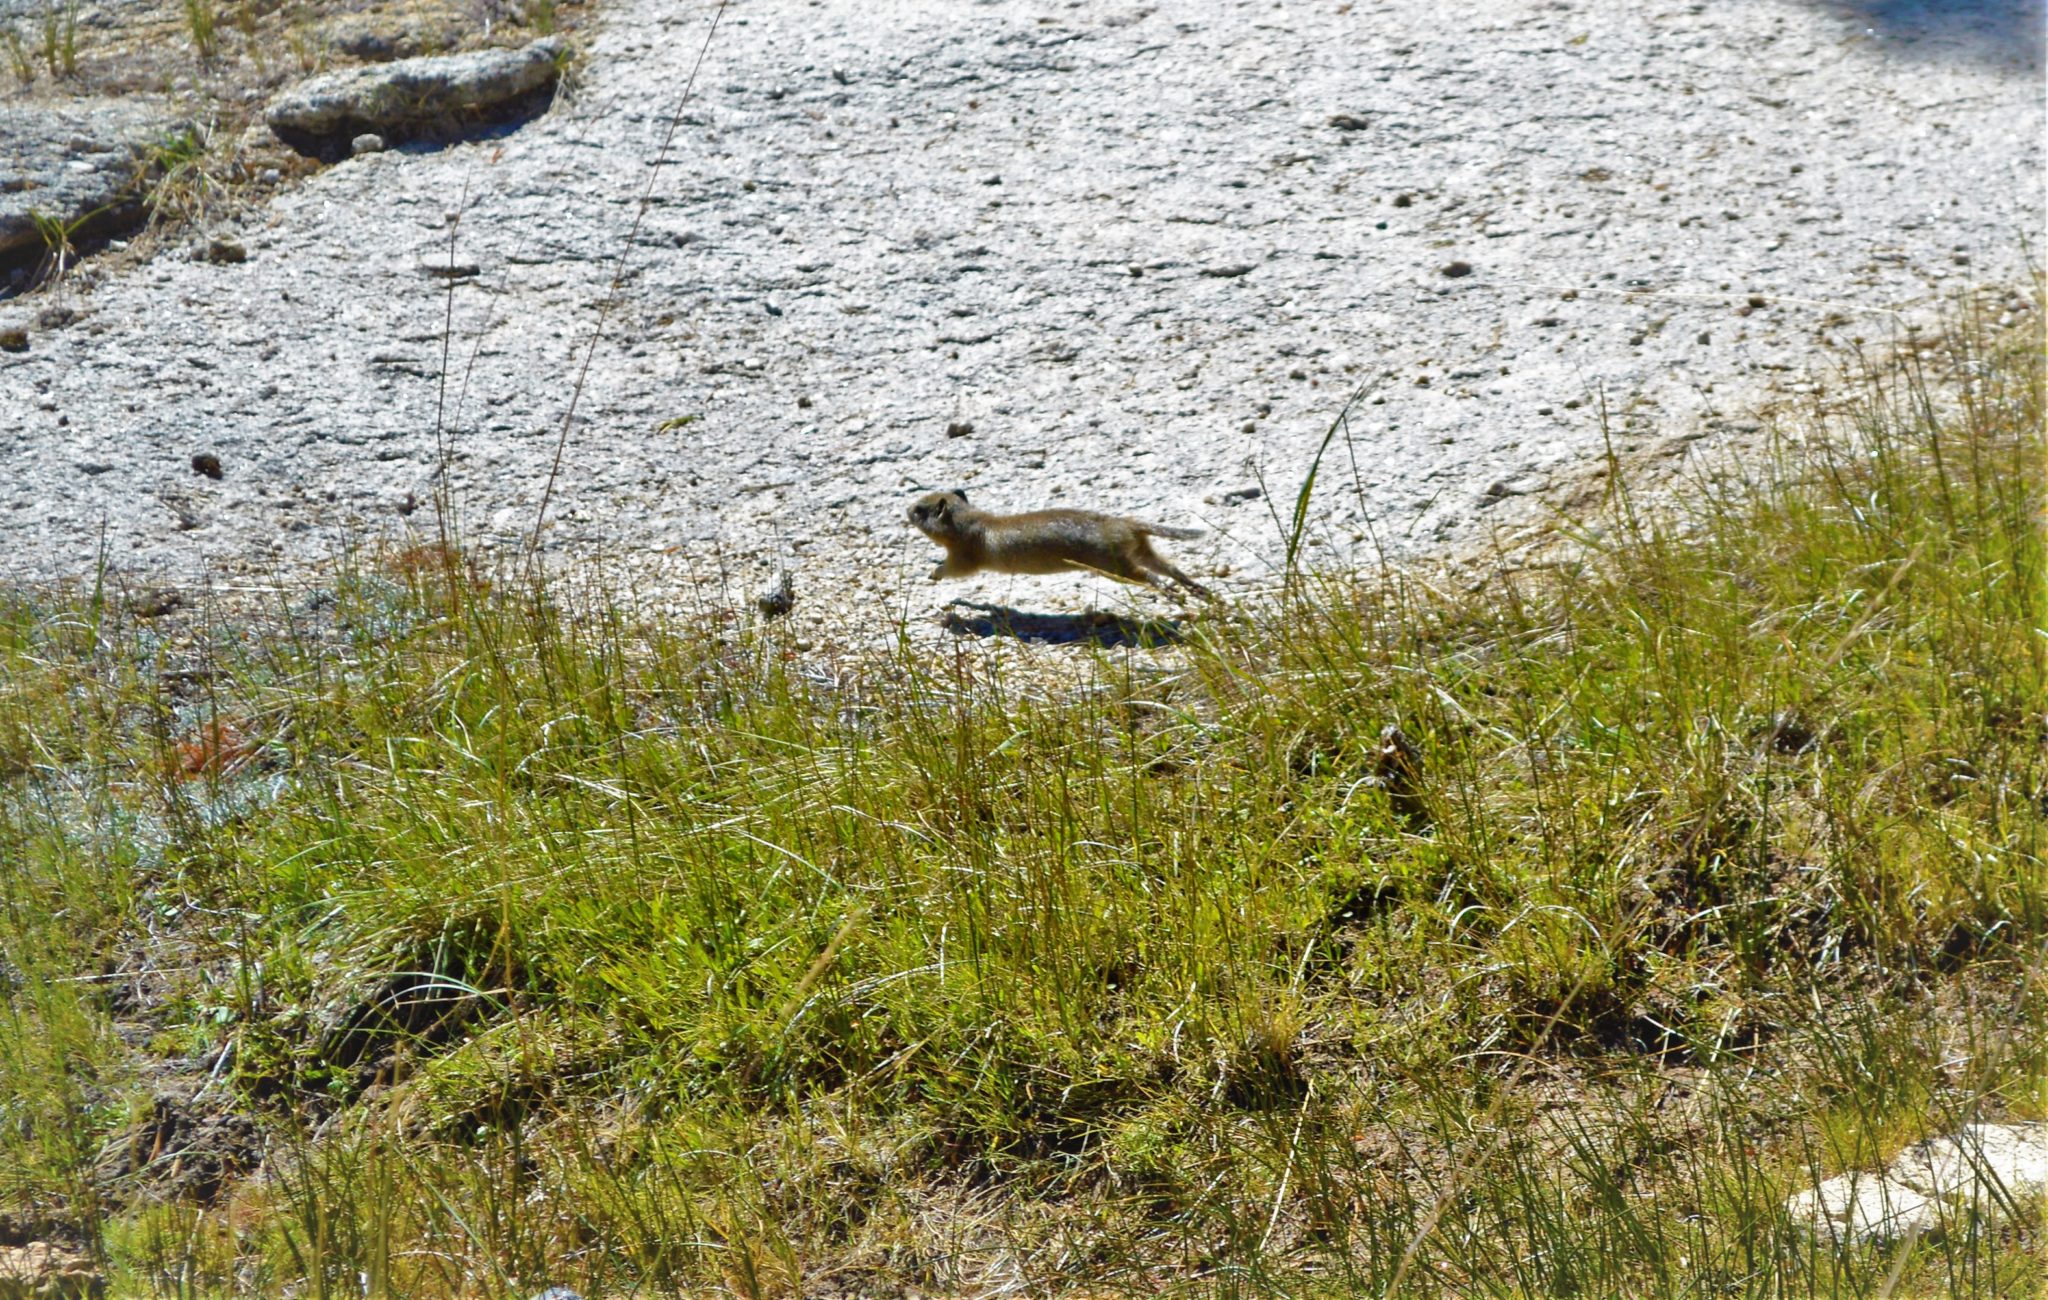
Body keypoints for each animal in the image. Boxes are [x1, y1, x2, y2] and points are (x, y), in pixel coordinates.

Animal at [907, 489, 1213, 599]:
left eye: (920, 509)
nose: (906, 509)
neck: (970, 521)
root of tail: (1128, 524)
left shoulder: (964, 555)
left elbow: (954, 569)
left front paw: (933, 573)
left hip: (1113, 564)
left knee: (1147, 574)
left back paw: (1170, 591)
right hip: (1140, 549)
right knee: (1170, 567)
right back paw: (1199, 590)